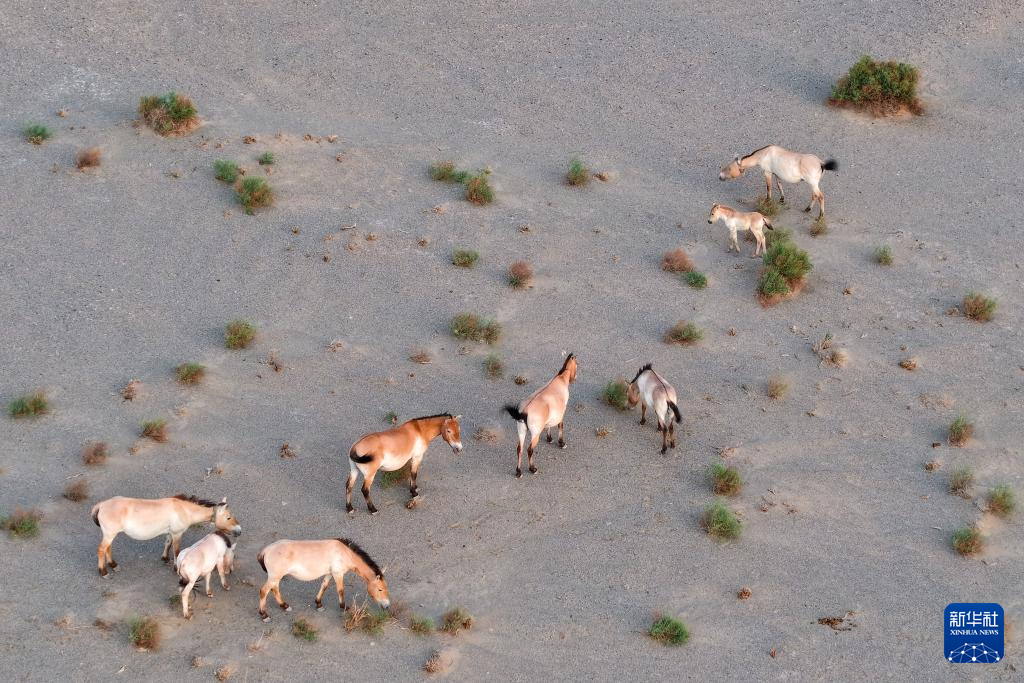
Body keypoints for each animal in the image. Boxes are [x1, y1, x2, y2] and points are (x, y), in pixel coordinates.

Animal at [91, 495, 241, 577]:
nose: (239, 531)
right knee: (101, 550)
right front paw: (175, 567)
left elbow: (167, 544)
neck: (184, 510)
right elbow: (176, 550)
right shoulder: (177, 534)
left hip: (110, 534)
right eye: (228, 517)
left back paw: (114, 565)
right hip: (109, 534)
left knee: (108, 548)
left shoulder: (170, 533)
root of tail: (102, 504)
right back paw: (103, 572)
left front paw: (165, 558)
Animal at [256, 538, 390, 622]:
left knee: (274, 589)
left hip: (276, 577)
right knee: (263, 591)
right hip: (274, 577)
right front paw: (344, 607)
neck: (344, 553)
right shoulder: (338, 574)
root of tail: (266, 550)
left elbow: (324, 586)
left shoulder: (329, 574)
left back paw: (284, 606)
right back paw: (264, 615)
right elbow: (340, 590)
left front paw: (318, 604)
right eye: (380, 589)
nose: (387, 606)